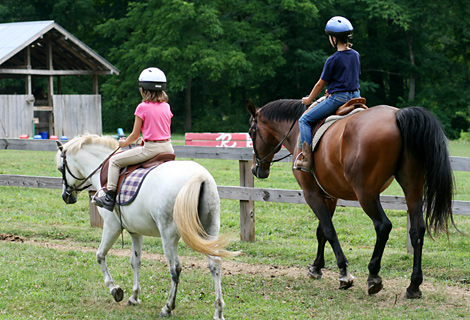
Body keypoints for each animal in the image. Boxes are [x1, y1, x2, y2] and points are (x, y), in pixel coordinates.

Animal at [55, 134, 239, 318]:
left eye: (60, 168)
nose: (66, 196)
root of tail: (199, 177)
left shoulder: (112, 226)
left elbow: (100, 255)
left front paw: (115, 290)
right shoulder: (135, 232)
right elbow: (136, 261)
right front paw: (134, 297)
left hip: (168, 235)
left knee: (175, 269)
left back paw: (168, 307)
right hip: (209, 232)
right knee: (215, 264)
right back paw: (218, 310)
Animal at [248, 99, 454, 298]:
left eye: (251, 133)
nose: (256, 169)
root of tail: (397, 115)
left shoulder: (311, 194)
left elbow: (329, 231)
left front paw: (344, 273)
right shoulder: (329, 196)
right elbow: (321, 231)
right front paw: (316, 267)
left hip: (366, 194)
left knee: (383, 226)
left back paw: (374, 276)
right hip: (412, 189)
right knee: (417, 230)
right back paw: (414, 285)